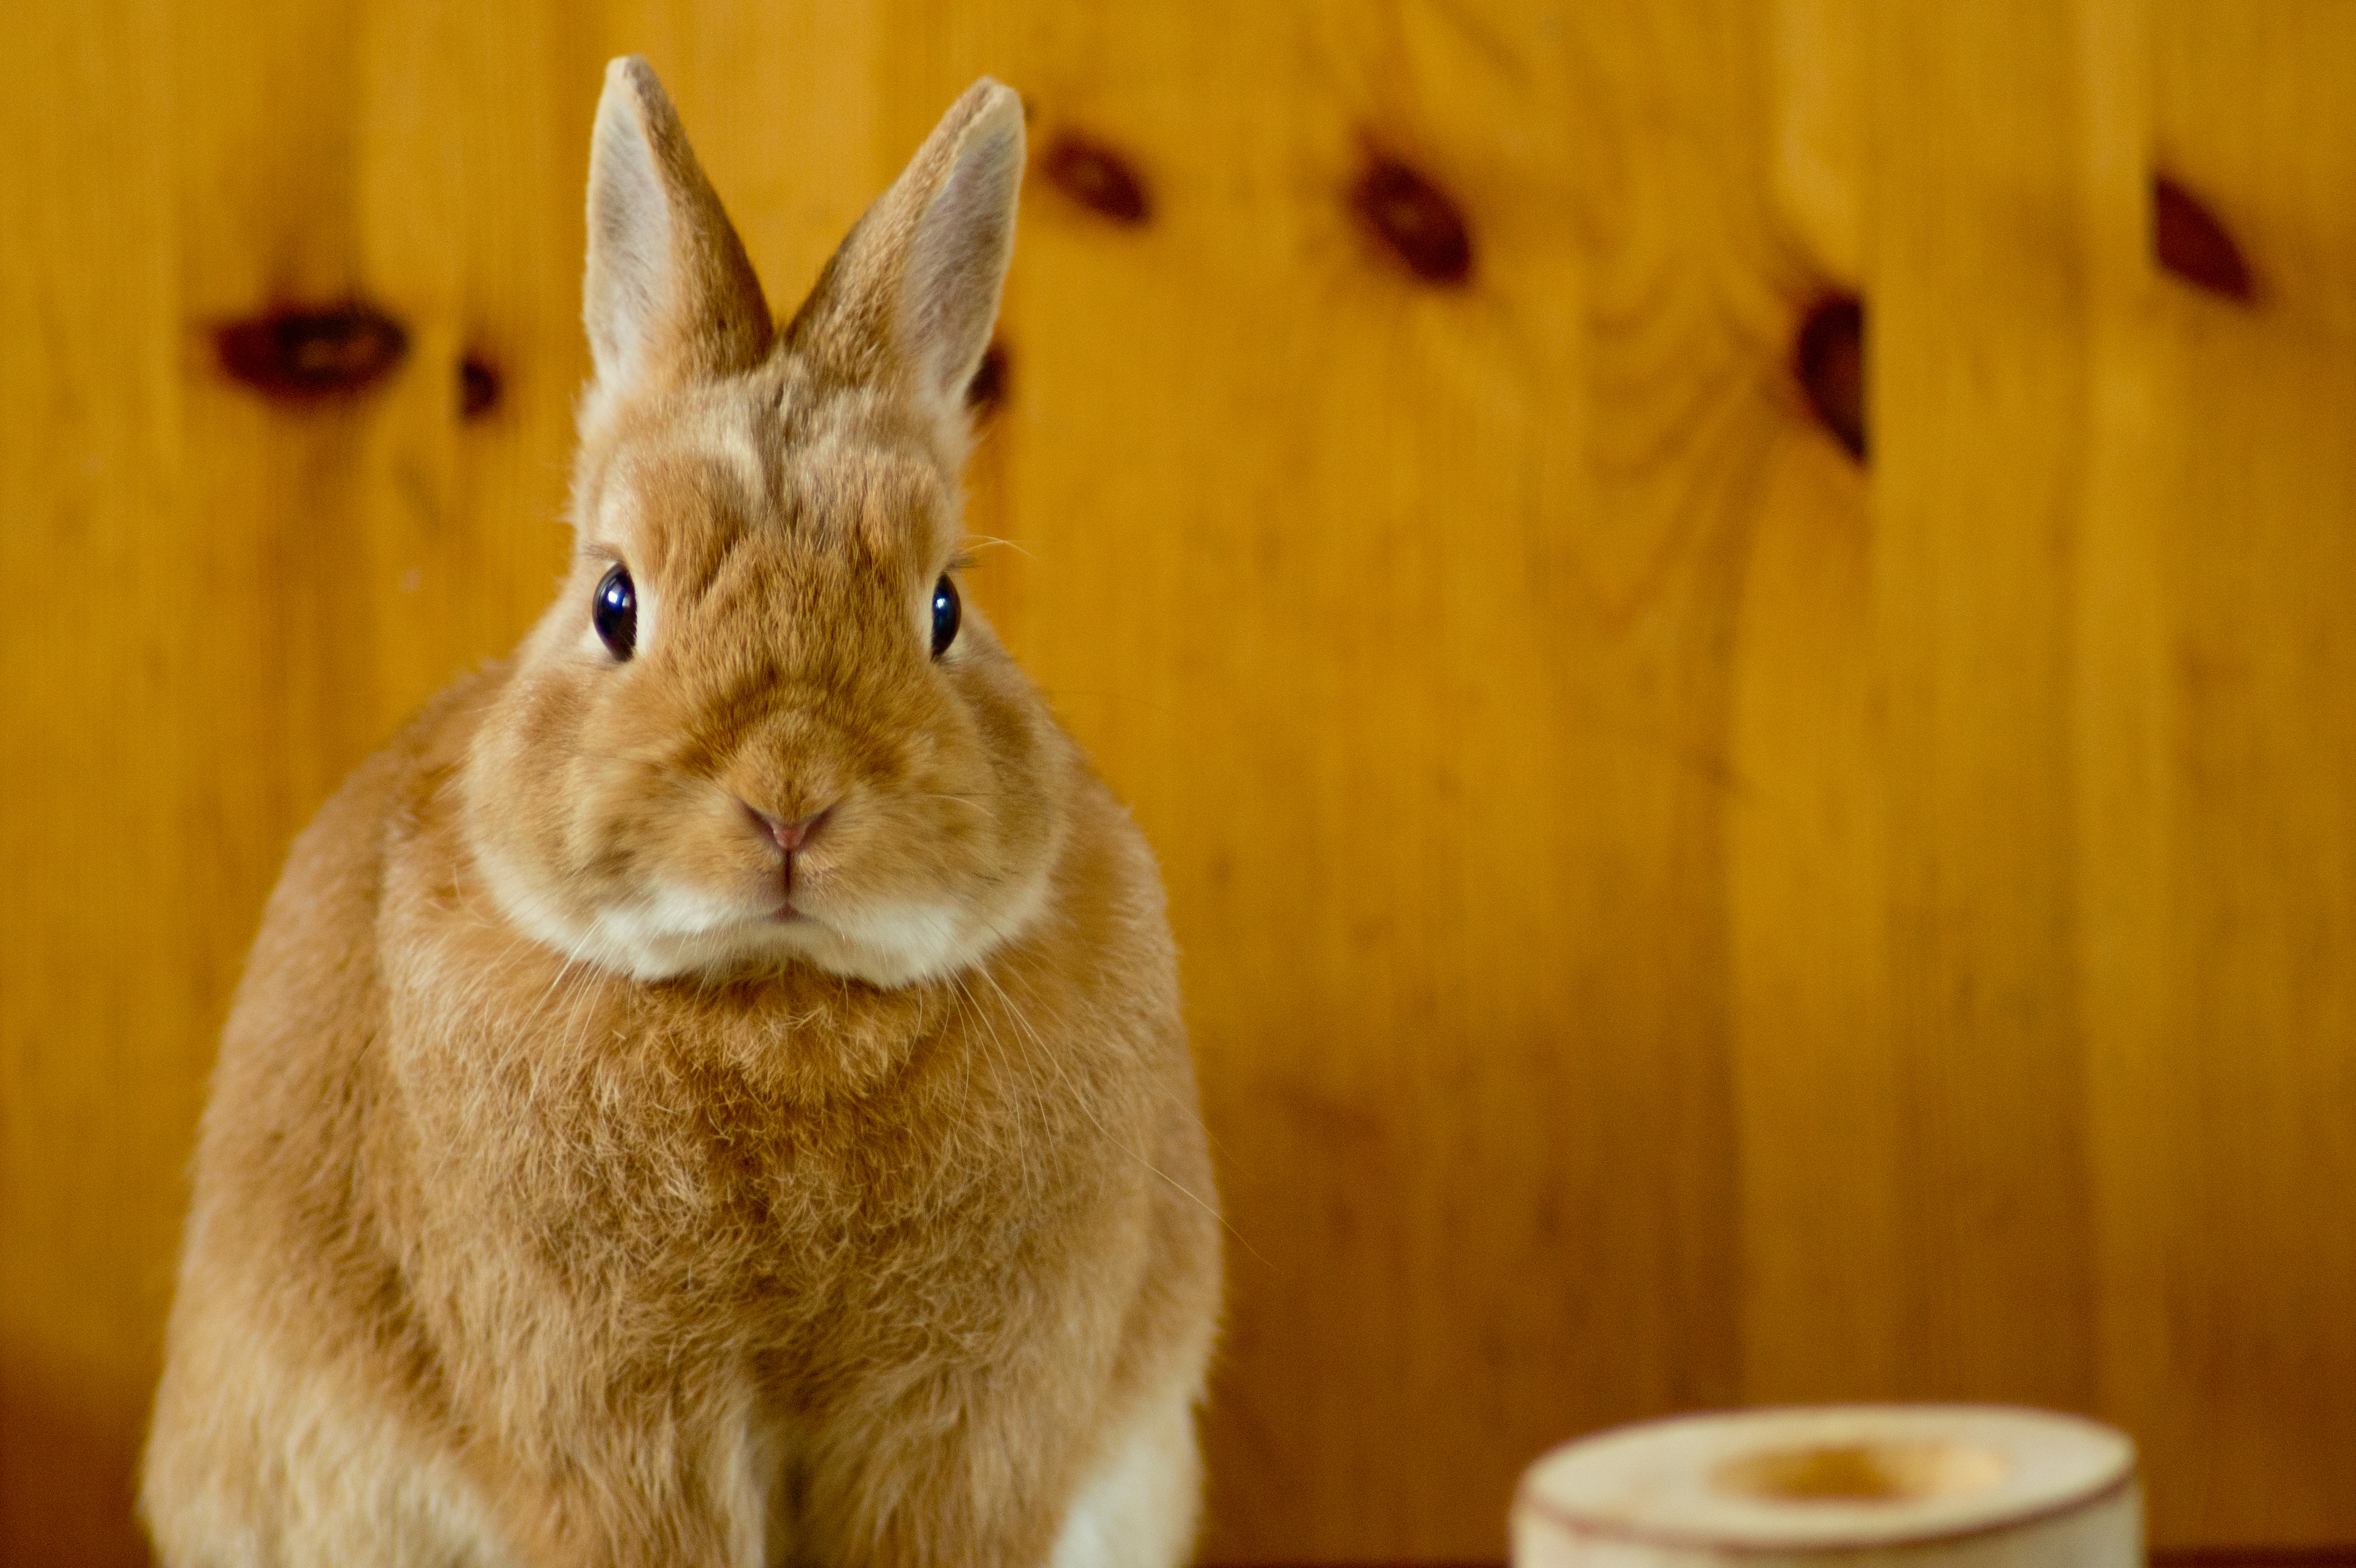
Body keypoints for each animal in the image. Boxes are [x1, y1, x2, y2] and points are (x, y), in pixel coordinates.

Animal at [140, 56, 1222, 1568]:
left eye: (945, 607)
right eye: (615, 602)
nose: (791, 802)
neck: (782, 1000)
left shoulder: (967, 1412)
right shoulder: (612, 1403)